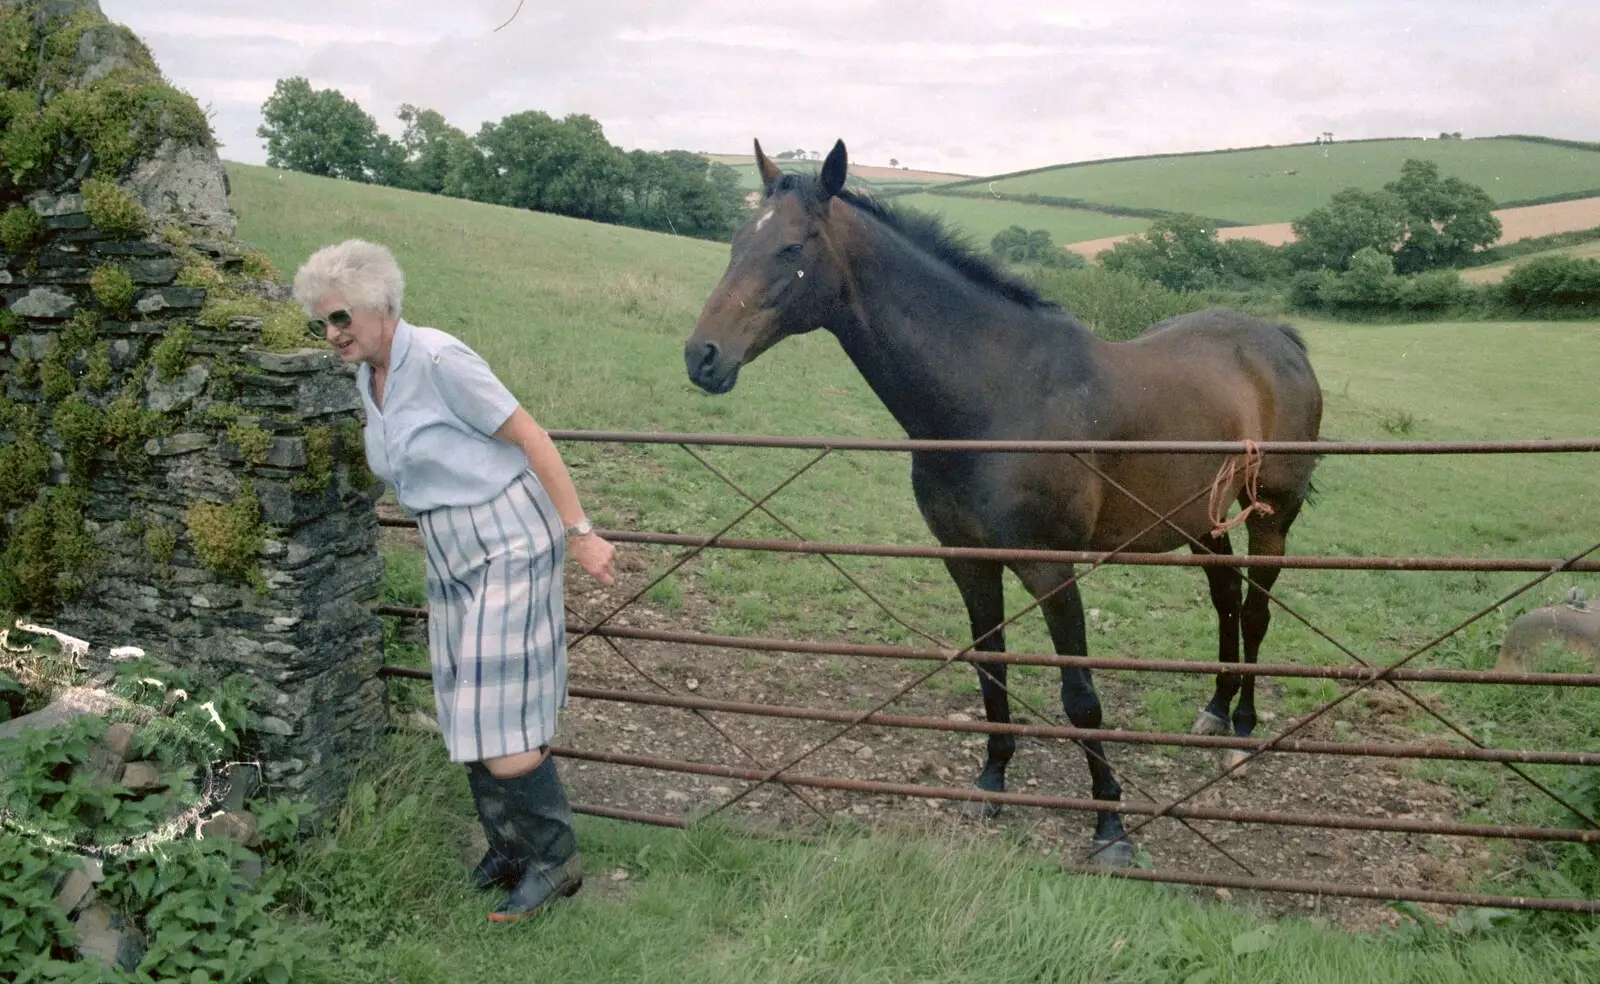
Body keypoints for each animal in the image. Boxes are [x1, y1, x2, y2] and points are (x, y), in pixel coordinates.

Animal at [681, 136, 1318, 864]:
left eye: (791, 247)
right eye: (737, 241)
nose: (702, 357)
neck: (999, 394)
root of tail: (1279, 340)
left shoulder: (1051, 569)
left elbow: (1081, 696)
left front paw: (1111, 825)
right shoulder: (968, 560)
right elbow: (991, 666)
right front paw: (992, 779)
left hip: (1273, 517)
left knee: (1258, 607)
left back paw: (1243, 725)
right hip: (1202, 521)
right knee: (1227, 598)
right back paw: (1214, 709)